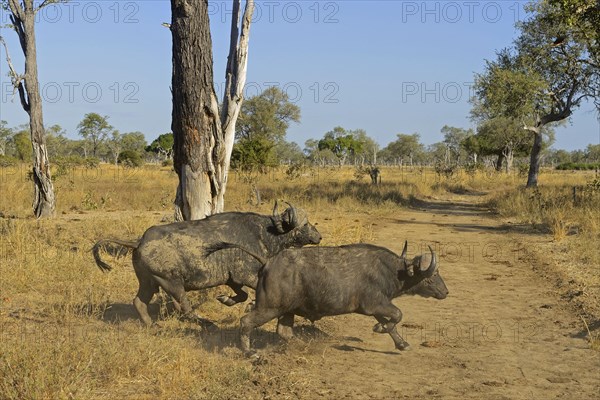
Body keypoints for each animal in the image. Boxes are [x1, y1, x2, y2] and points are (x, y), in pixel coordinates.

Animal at [91, 202, 322, 326]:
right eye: (305, 224)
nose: (319, 236)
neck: (266, 233)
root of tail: (139, 241)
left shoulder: (232, 280)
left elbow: (241, 295)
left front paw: (225, 300)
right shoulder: (246, 275)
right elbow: (250, 294)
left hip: (149, 283)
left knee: (139, 302)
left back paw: (151, 325)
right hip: (171, 283)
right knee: (184, 306)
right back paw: (205, 322)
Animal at [206, 239, 446, 354]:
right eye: (432, 276)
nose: (445, 291)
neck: (393, 270)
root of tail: (268, 262)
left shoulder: (376, 307)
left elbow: (392, 324)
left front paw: (401, 343)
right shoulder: (375, 303)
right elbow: (397, 315)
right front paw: (380, 329)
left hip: (286, 311)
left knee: (284, 332)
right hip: (269, 308)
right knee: (246, 321)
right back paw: (250, 353)